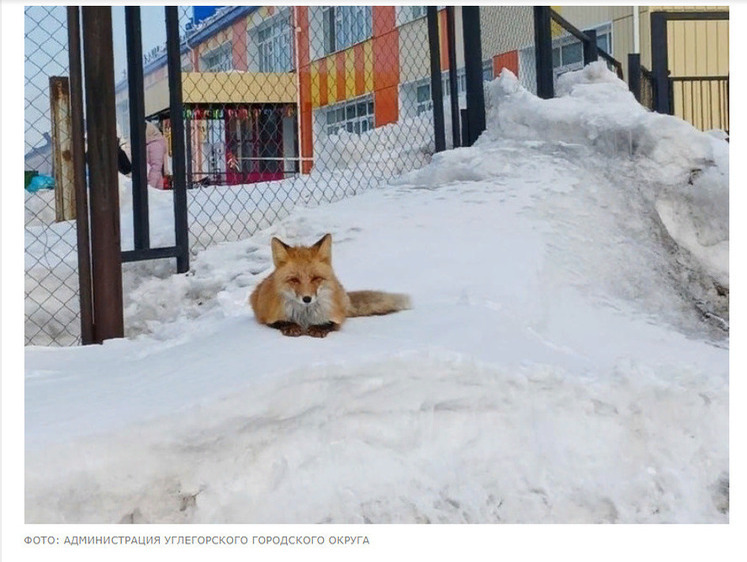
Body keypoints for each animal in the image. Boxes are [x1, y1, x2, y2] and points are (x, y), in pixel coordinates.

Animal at [250, 233, 412, 336]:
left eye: (316, 278)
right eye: (294, 280)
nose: (307, 299)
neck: (305, 317)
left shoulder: (336, 316)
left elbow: (331, 323)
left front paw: (318, 328)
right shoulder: (265, 314)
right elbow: (279, 322)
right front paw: (291, 327)